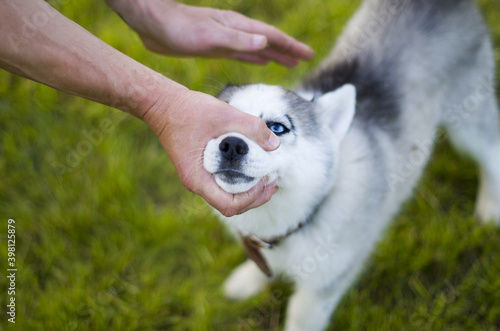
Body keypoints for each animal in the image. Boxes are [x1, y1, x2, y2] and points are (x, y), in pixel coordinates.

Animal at [202, 1, 500, 330]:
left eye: (277, 128)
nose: (231, 145)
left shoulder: (324, 284)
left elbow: (301, 319)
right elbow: (264, 266)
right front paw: (247, 280)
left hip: (468, 115)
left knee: (491, 148)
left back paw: (490, 207)